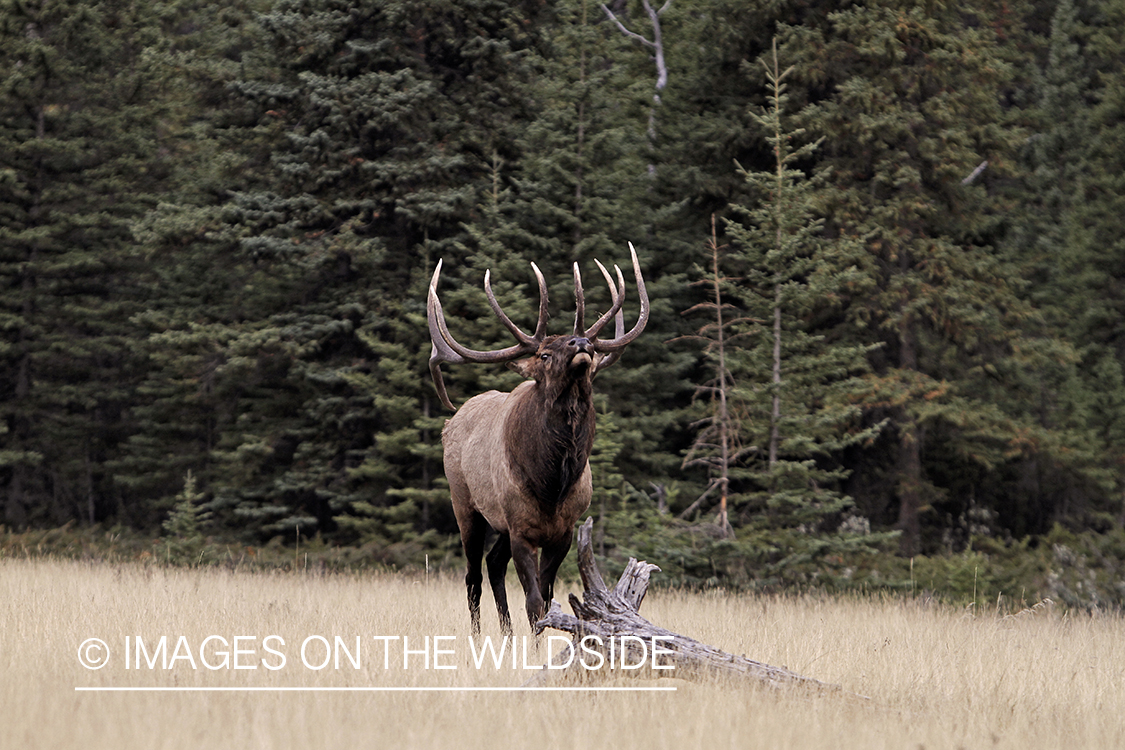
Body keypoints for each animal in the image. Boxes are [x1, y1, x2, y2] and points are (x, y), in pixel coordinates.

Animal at [425, 246, 652, 634]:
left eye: (592, 350)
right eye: (545, 354)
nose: (582, 342)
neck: (552, 483)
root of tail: (450, 420)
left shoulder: (564, 531)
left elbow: (547, 598)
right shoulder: (521, 528)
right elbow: (534, 603)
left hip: (498, 524)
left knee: (493, 564)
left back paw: (506, 631)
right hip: (464, 504)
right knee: (473, 575)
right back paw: (479, 635)